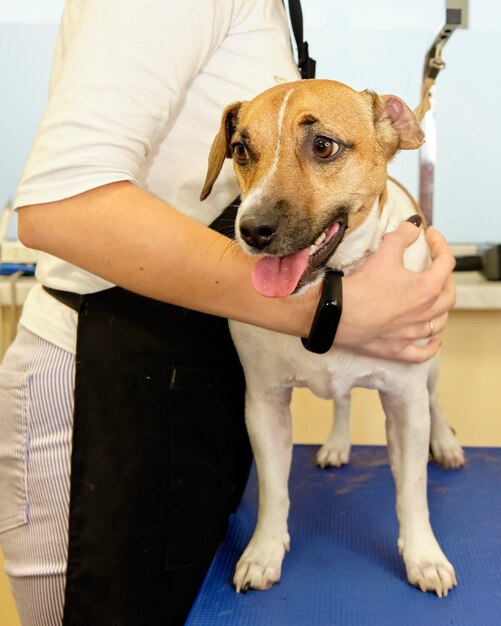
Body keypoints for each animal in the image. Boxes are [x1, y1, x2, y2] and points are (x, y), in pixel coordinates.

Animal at [201, 78, 462, 596]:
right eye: (240, 149)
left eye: (323, 146)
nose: (252, 230)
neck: (332, 284)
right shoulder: (264, 404)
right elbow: (274, 492)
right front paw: (263, 552)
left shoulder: (406, 404)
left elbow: (412, 491)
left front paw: (423, 556)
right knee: (342, 400)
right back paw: (338, 444)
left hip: (431, 360)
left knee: (436, 399)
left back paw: (445, 443)